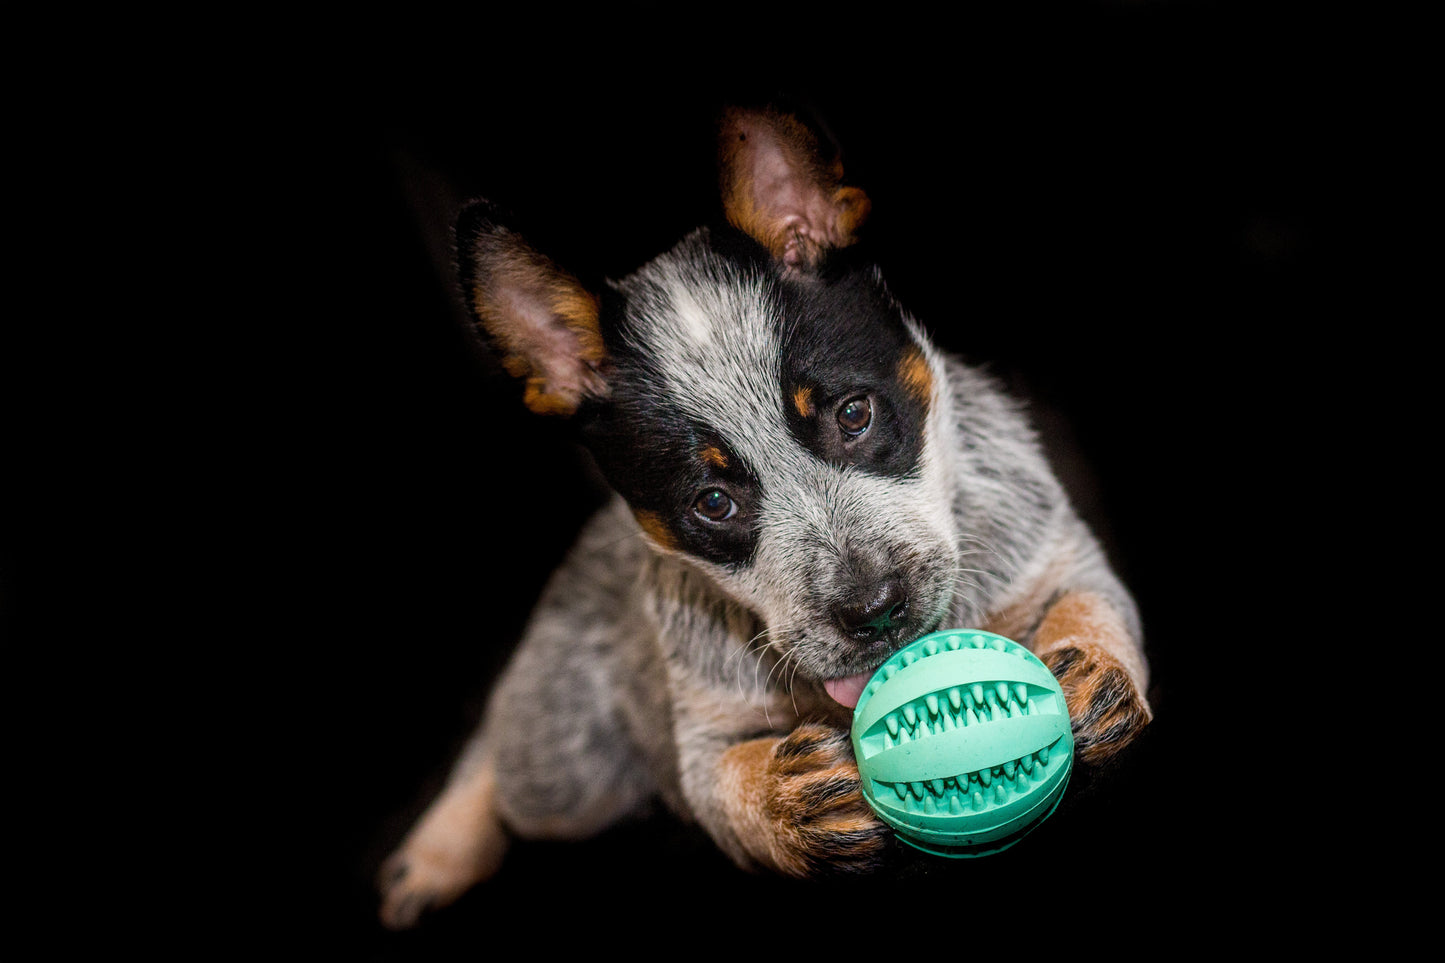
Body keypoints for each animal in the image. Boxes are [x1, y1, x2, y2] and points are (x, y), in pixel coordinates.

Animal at [381, 104, 1150, 925]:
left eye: (853, 414)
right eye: (713, 502)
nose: (875, 611)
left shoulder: (1060, 555)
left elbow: (1087, 604)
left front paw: (1091, 663)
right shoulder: (701, 730)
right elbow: (721, 778)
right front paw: (778, 798)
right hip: (564, 770)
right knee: (497, 751)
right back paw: (437, 851)